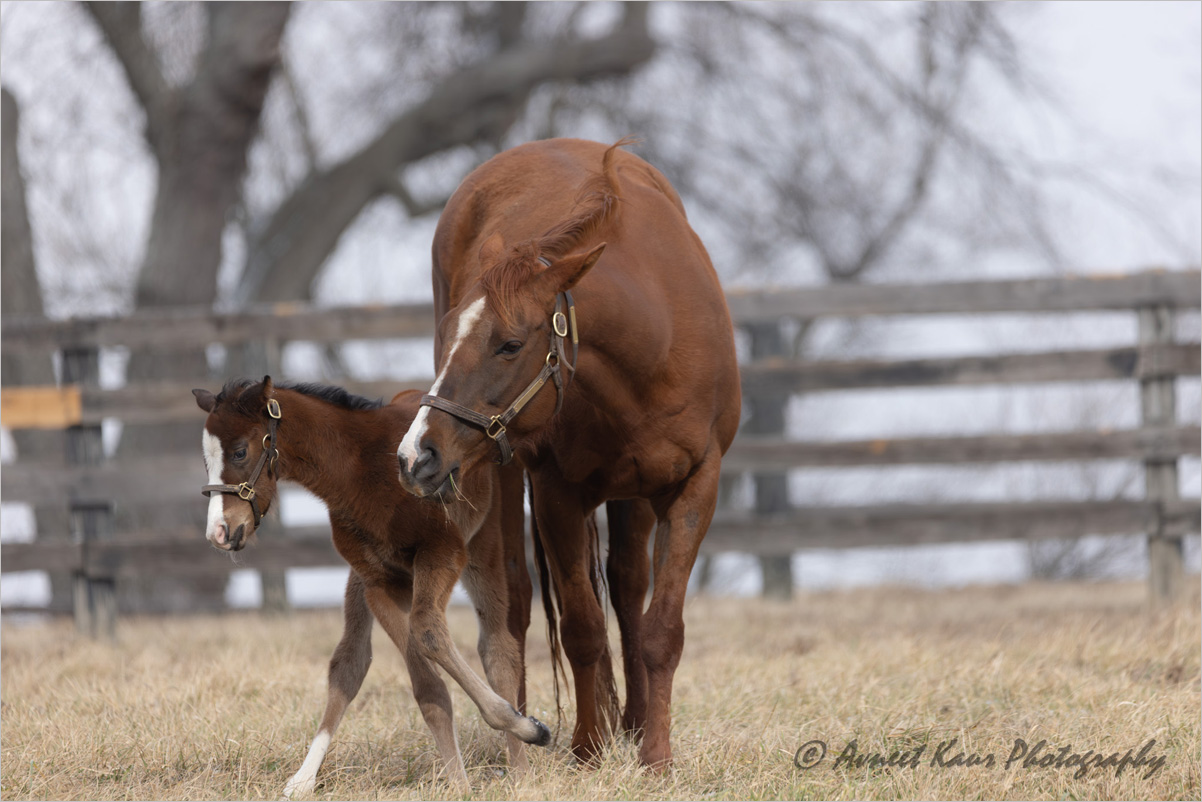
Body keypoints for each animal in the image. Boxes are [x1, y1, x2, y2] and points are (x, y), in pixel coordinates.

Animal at [193, 377, 550, 795]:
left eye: (239, 452)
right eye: (207, 460)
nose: (219, 532)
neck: (363, 471)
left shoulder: (441, 553)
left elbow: (430, 632)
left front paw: (531, 729)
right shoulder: (379, 583)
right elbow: (427, 686)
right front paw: (459, 784)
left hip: (485, 550)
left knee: (499, 649)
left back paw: (522, 769)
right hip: (361, 580)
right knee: (350, 661)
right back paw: (304, 778)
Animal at [396, 138, 741, 769]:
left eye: (510, 344)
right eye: (448, 333)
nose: (416, 456)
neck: (656, 339)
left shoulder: (695, 484)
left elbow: (661, 627)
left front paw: (656, 755)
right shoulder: (557, 490)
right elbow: (581, 627)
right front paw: (587, 748)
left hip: (632, 494)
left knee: (627, 587)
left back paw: (631, 720)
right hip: (502, 473)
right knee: (514, 601)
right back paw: (520, 728)